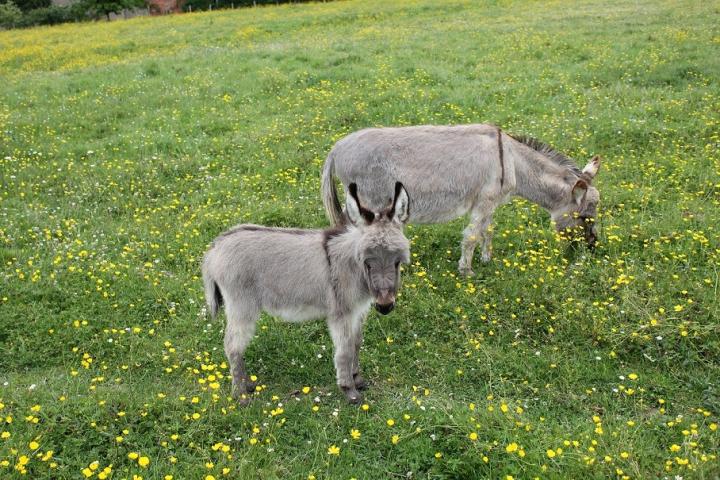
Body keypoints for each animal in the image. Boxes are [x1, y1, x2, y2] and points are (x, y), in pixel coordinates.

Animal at [202, 182, 410, 404]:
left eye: (397, 261)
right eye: (367, 262)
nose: (385, 306)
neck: (352, 267)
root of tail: (215, 248)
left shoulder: (358, 311)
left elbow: (356, 343)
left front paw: (357, 379)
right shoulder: (341, 313)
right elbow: (344, 350)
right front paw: (349, 391)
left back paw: (248, 385)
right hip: (241, 305)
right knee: (233, 345)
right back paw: (240, 394)